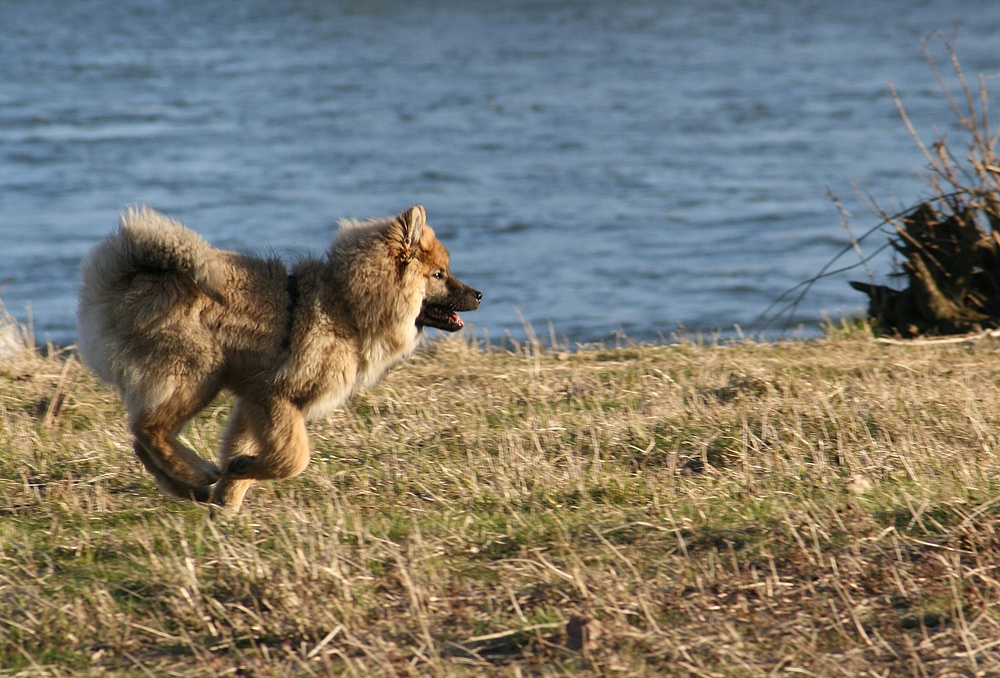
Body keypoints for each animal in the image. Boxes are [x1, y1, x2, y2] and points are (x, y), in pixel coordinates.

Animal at [75, 207, 480, 510]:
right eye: (439, 275)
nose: (478, 294)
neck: (345, 306)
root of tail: (121, 281)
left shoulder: (252, 403)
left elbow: (247, 453)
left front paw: (229, 495)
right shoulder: (274, 395)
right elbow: (294, 458)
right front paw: (235, 477)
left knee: (140, 438)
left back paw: (190, 486)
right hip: (199, 373)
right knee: (148, 429)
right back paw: (195, 474)